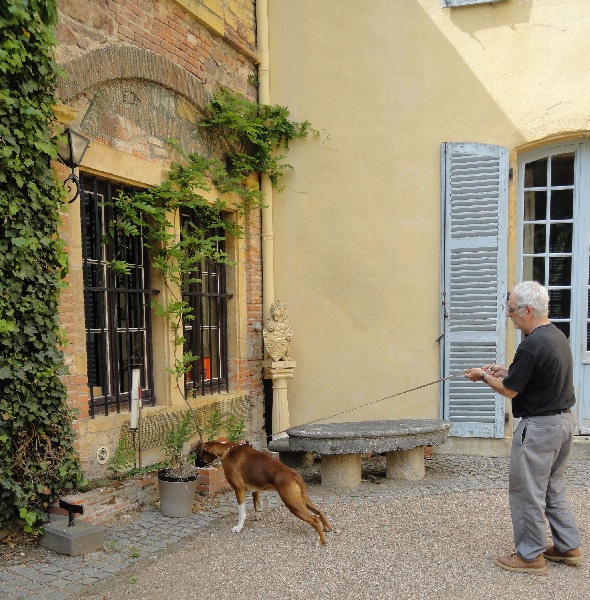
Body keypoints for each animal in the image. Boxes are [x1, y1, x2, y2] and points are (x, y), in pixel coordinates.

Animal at [194, 440, 332, 544]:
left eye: (198, 455)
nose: (195, 465)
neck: (226, 450)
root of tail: (294, 474)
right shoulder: (255, 489)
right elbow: (257, 504)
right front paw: (257, 516)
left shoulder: (239, 489)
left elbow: (242, 512)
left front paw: (239, 527)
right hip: (302, 498)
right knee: (319, 512)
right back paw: (327, 527)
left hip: (292, 503)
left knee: (314, 519)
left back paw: (321, 541)